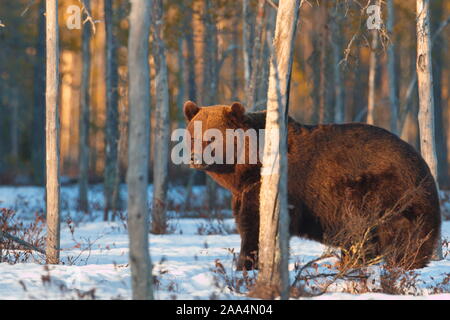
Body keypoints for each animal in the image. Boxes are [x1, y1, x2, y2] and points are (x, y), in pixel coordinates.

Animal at [182, 100, 440, 270]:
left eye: (212, 137)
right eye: (193, 135)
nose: (195, 158)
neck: (246, 168)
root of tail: (424, 167)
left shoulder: (271, 190)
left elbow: (254, 227)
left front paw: (245, 264)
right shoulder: (245, 192)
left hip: (382, 192)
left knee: (379, 231)